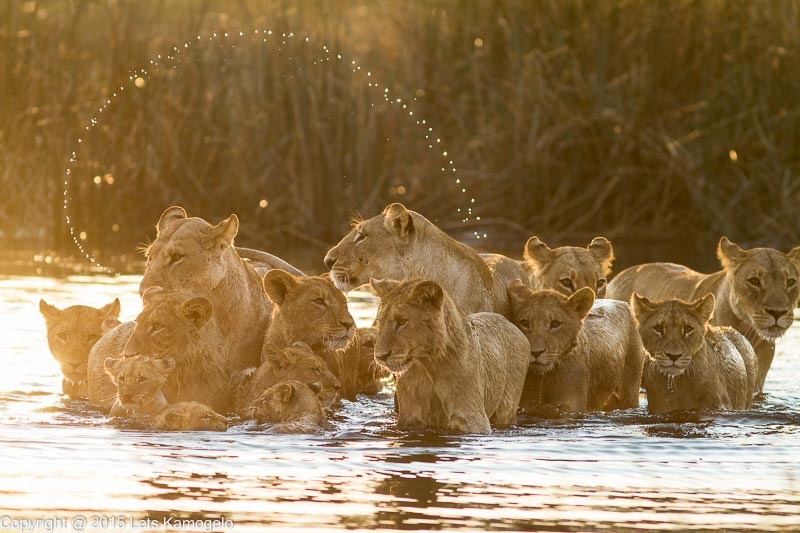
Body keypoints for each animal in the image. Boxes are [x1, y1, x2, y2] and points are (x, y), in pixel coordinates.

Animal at [370, 278, 532, 432]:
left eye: (402, 321)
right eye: (380, 321)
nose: (380, 356)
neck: (428, 366)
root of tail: (508, 322)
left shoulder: (474, 419)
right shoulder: (410, 419)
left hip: (507, 409)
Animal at [510, 280, 648, 414]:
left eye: (555, 323)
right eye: (525, 323)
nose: (536, 352)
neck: (545, 378)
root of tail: (621, 302)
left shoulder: (571, 405)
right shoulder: (526, 404)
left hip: (630, 392)